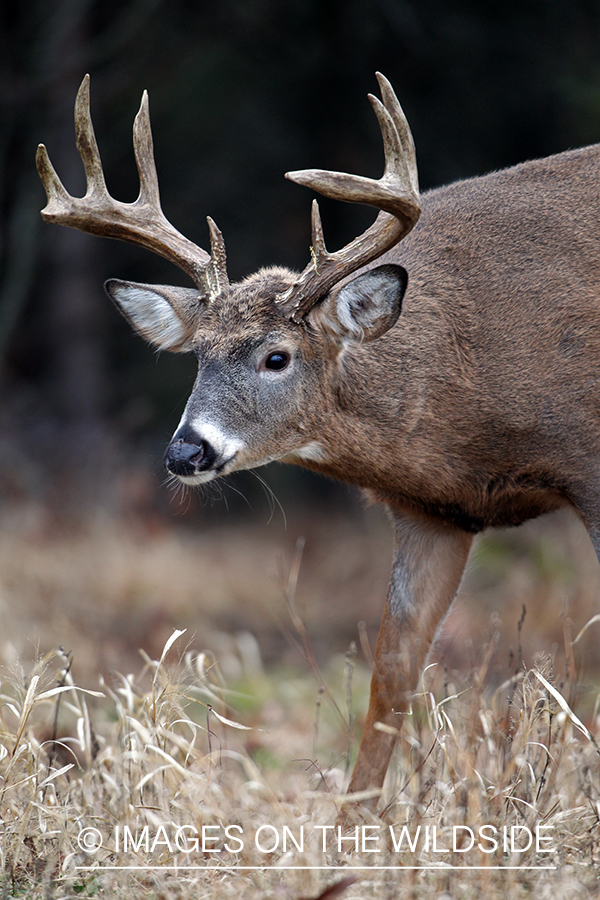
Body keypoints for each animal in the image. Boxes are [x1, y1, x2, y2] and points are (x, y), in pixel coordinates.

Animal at [36, 74, 600, 808]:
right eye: (198, 357)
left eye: (276, 357)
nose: (186, 452)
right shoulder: (435, 513)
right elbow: (392, 672)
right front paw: (351, 823)